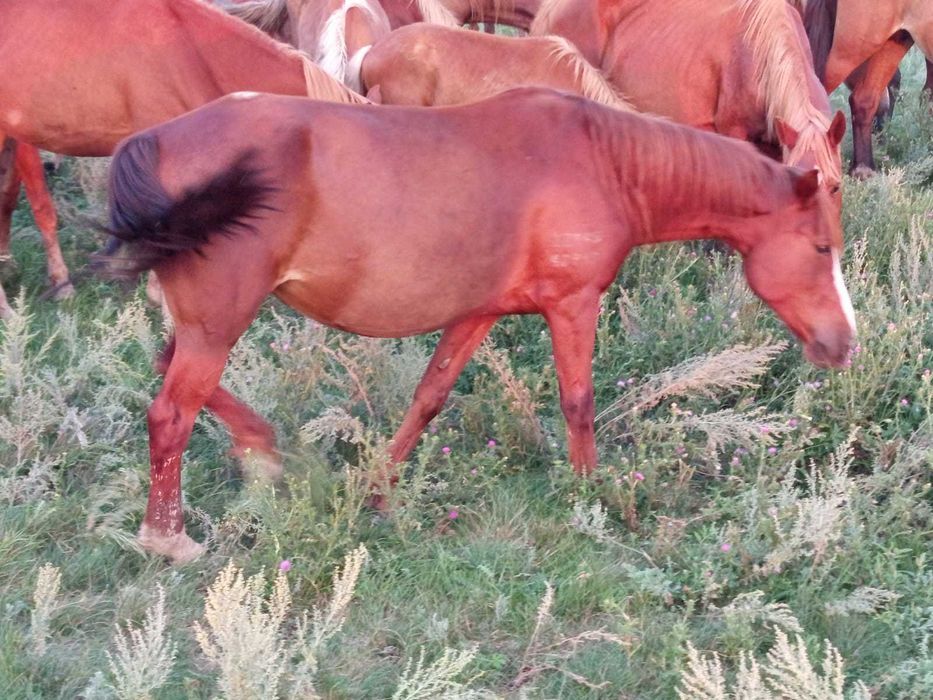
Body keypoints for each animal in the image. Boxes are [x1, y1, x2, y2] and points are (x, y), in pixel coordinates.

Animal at [101, 88, 855, 563]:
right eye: (822, 248)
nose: (843, 344)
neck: (605, 160)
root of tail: (155, 139)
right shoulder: (573, 304)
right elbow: (578, 403)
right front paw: (589, 498)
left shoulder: (478, 311)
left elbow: (429, 396)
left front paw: (379, 492)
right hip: (217, 324)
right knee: (170, 413)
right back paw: (167, 537)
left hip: (202, 322)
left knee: (171, 371)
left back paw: (261, 450)